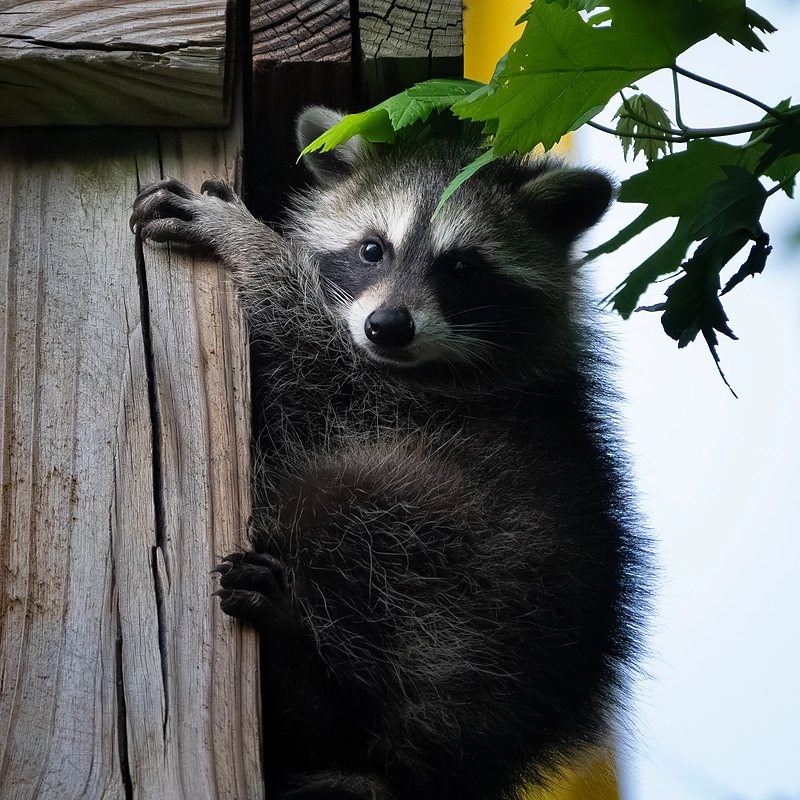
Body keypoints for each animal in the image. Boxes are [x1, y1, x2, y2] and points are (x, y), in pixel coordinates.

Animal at [130, 107, 646, 800]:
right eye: (372, 249)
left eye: (462, 267)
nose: (388, 327)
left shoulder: (405, 402)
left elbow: (312, 356)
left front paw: (249, 243)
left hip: (473, 599)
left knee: (340, 504)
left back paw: (304, 671)